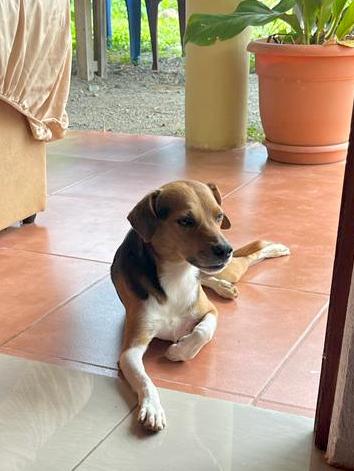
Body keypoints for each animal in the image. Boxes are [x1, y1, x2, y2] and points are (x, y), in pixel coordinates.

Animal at [111, 180, 290, 432]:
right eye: (186, 221)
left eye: (219, 216)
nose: (226, 249)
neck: (178, 273)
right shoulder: (130, 350)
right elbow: (145, 380)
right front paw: (152, 408)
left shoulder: (210, 311)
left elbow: (203, 331)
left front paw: (178, 351)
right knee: (217, 272)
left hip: (228, 268)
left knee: (248, 257)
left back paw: (275, 249)